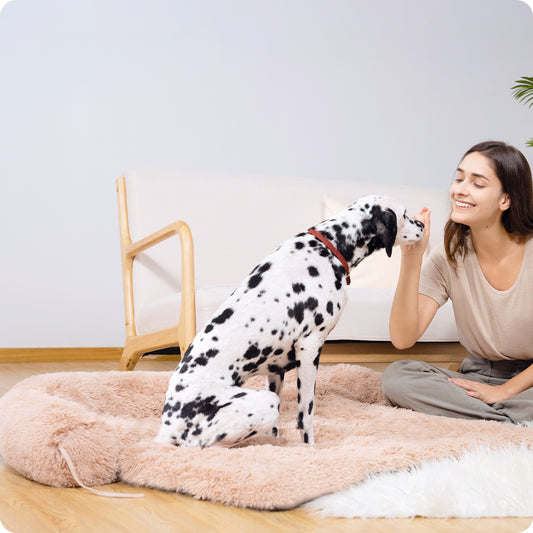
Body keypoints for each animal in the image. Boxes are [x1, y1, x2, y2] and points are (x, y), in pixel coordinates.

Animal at [155, 193, 424, 446]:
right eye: (405, 214)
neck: (328, 248)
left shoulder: (276, 370)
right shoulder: (309, 348)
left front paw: (276, 443)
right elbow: (306, 415)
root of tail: (168, 424)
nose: (422, 224)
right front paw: (310, 449)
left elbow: (277, 427)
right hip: (264, 403)